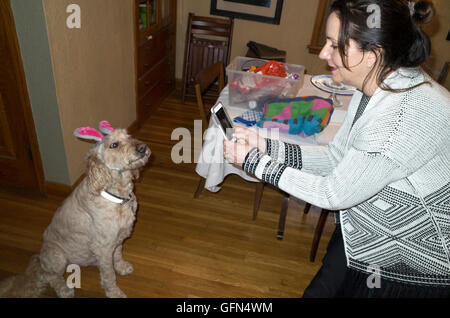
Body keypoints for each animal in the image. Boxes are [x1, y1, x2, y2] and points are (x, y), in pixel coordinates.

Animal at [0, 120, 151, 296]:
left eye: (129, 136)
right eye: (114, 144)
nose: (142, 147)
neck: (115, 195)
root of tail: (40, 259)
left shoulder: (119, 237)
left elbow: (118, 254)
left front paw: (121, 266)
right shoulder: (104, 247)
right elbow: (108, 275)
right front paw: (114, 293)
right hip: (57, 257)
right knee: (50, 276)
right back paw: (64, 290)